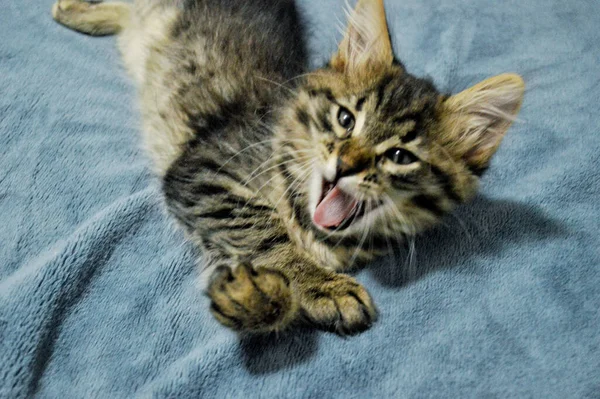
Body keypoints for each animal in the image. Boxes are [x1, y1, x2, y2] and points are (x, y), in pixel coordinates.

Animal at [54, 0, 524, 336]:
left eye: (400, 157)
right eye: (345, 119)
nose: (344, 165)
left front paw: (255, 297)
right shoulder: (204, 167)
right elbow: (263, 227)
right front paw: (318, 285)